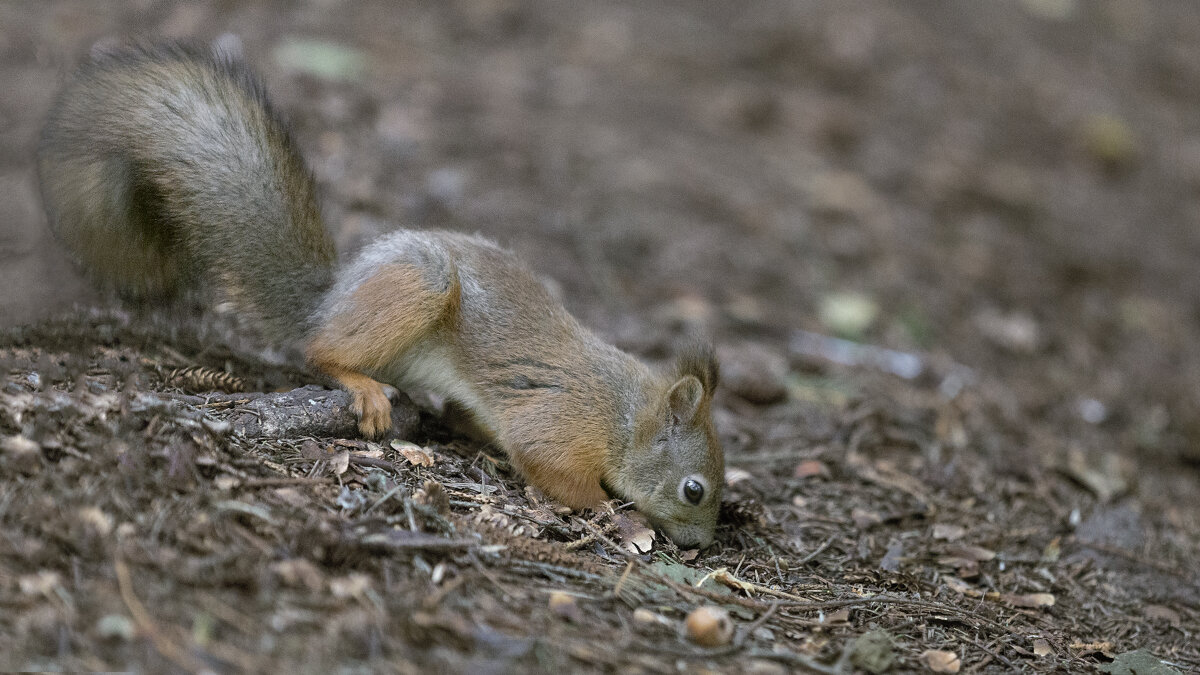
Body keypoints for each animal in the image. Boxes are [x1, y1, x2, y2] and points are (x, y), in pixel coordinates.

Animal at [37, 40, 720, 547]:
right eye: (695, 490)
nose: (700, 546)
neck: (625, 415)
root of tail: (331, 297)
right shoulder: (565, 419)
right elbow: (553, 467)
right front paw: (609, 509)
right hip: (420, 284)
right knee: (319, 350)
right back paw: (360, 384)